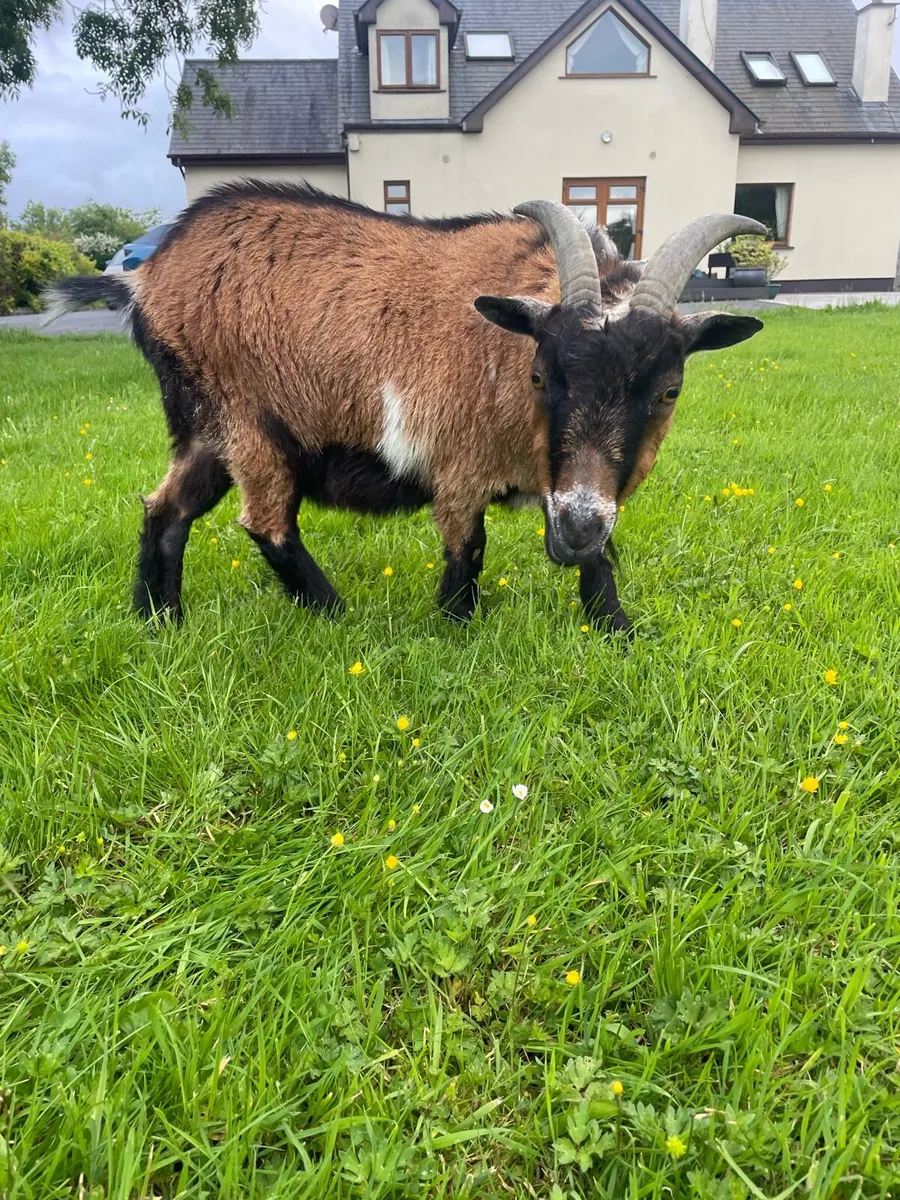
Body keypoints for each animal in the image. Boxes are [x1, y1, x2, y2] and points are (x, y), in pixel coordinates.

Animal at [46, 184, 764, 632]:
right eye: (540, 375)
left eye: (668, 391)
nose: (577, 527)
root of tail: (144, 278)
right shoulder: (459, 464)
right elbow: (467, 550)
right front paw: (453, 627)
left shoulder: (576, 488)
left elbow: (598, 552)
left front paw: (617, 629)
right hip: (248, 420)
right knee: (266, 523)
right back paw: (335, 615)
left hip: (204, 427)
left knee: (166, 509)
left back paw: (160, 622)